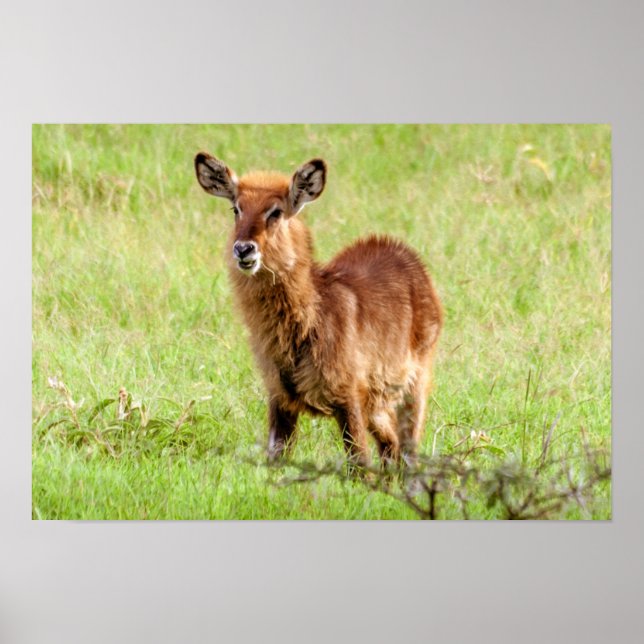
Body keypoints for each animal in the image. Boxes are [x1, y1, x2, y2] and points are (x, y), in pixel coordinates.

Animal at [194, 152, 442, 469]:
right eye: (236, 208)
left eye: (276, 211)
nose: (243, 249)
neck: (308, 322)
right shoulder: (280, 398)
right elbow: (275, 461)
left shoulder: (349, 398)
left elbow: (359, 464)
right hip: (377, 402)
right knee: (391, 445)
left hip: (415, 384)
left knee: (408, 450)